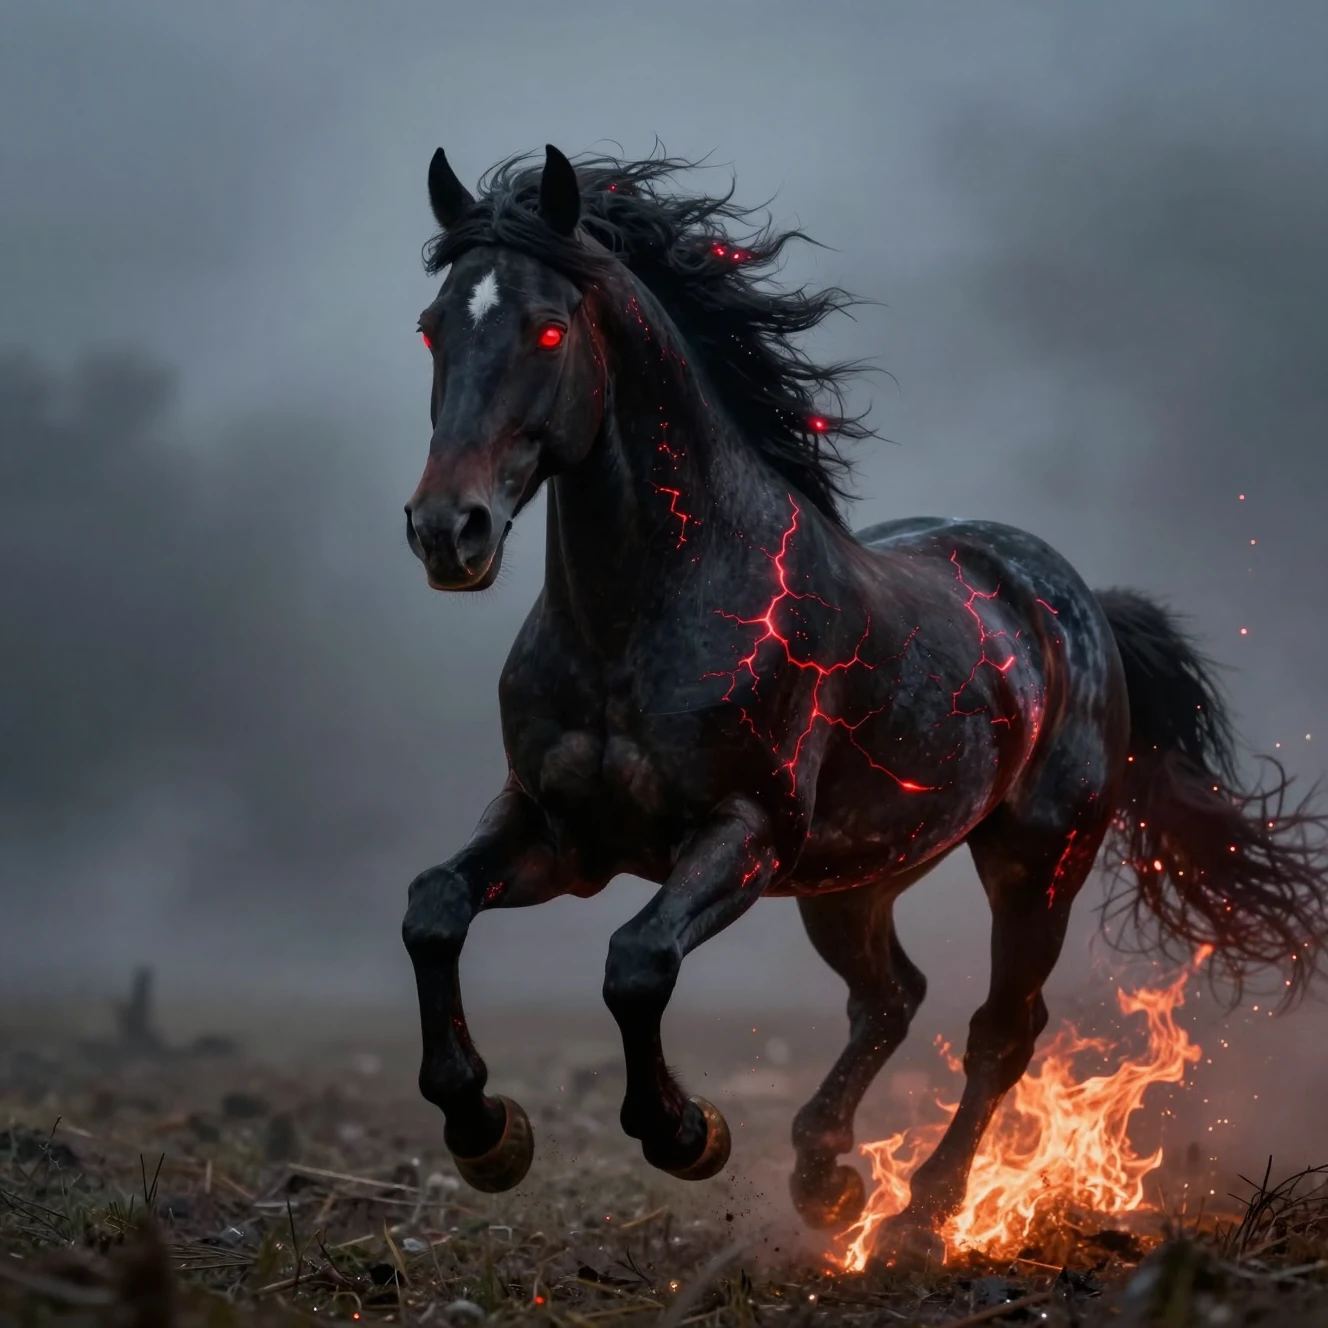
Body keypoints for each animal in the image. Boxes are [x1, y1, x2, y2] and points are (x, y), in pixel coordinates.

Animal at [399, 144, 1328, 1258]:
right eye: (431, 326)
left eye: (546, 326)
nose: (446, 531)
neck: (638, 618)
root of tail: (1076, 603)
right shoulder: (556, 832)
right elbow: (432, 910)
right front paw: (485, 1131)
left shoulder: (743, 833)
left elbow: (636, 962)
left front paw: (686, 1133)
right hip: (854, 879)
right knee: (891, 998)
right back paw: (826, 1176)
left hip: (1034, 861)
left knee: (998, 1029)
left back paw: (921, 1212)